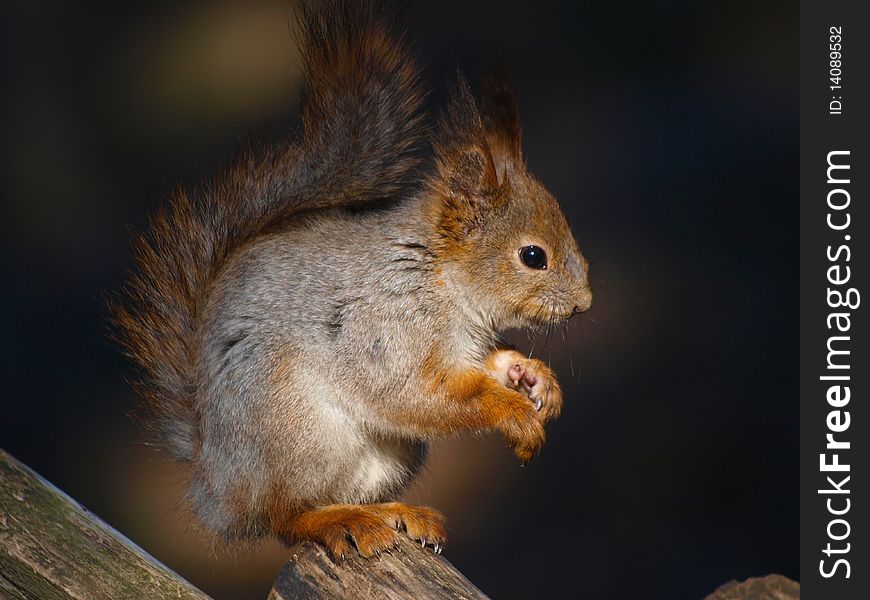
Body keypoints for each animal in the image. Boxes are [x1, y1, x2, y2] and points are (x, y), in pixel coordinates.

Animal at [114, 0, 592, 560]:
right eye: (533, 256)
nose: (585, 304)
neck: (438, 278)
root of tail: (216, 486)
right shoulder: (381, 326)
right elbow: (417, 394)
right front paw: (511, 411)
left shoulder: (462, 346)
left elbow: (484, 367)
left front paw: (532, 377)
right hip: (297, 429)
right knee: (284, 516)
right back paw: (338, 522)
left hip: (380, 458)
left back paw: (394, 513)